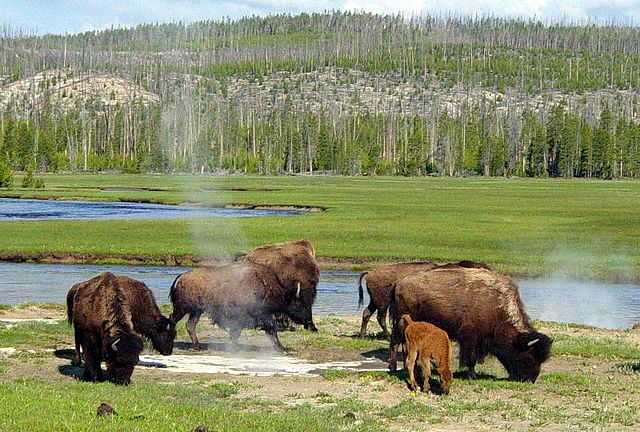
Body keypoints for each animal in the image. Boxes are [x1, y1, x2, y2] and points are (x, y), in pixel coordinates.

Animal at [170, 262, 311, 352]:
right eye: (298, 303)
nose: (308, 321)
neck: (266, 286)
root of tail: (182, 277)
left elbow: (237, 333)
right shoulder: (259, 316)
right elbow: (271, 331)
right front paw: (282, 349)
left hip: (196, 311)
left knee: (190, 325)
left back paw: (198, 347)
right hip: (182, 308)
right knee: (173, 319)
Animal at [358, 260, 490, 340]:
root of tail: (370, 272)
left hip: (375, 301)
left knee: (367, 313)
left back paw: (362, 335)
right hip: (382, 302)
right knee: (380, 317)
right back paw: (388, 337)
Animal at [388, 267, 552, 383]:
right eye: (530, 357)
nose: (530, 379)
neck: (496, 306)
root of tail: (399, 283)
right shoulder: (470, 337)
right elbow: (470, 357)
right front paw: (472, 375)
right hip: (402, 323)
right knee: (395, 341)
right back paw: (393, 367)